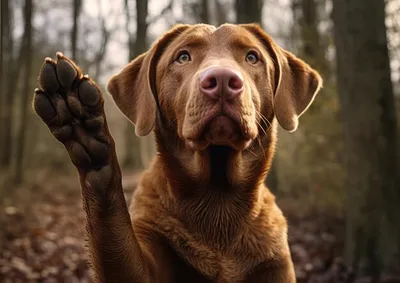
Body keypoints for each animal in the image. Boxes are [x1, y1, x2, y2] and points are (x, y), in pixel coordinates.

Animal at [33, 23, 322, 283]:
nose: (222, 80)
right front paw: (85, 129)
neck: (218, 200)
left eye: (252, 57)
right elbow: (112, 227)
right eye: (183, 57)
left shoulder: (273, 264)